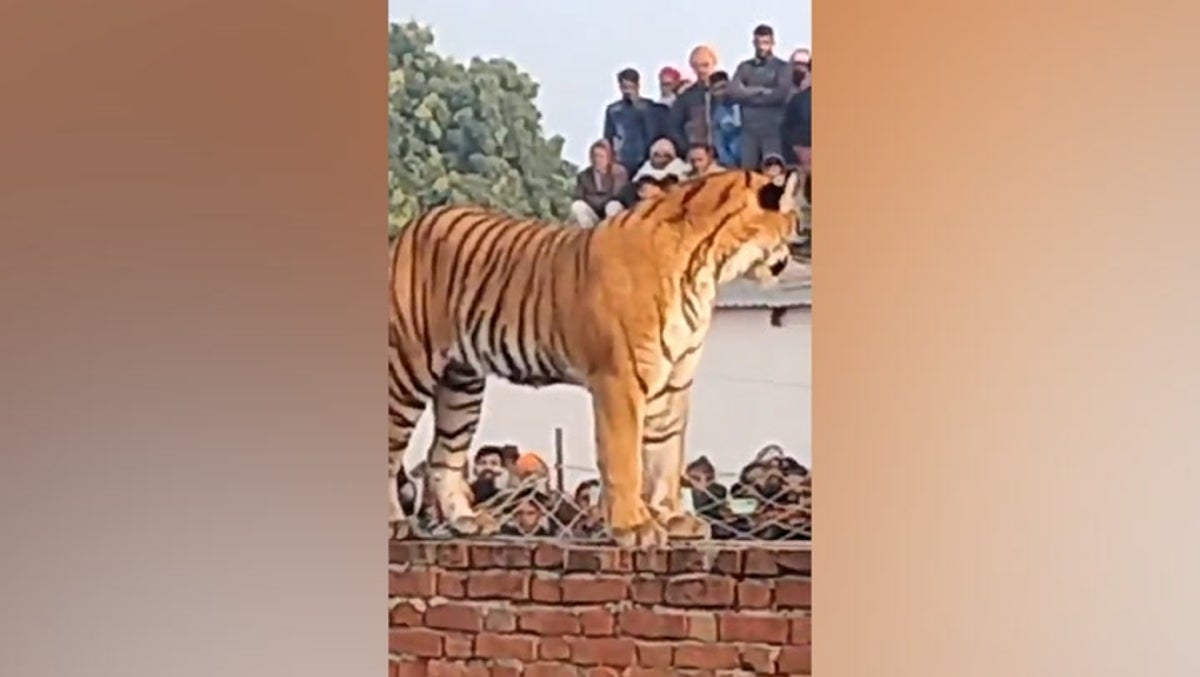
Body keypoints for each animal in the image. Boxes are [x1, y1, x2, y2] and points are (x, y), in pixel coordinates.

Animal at [388, 169, 801, 549]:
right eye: (793, 224)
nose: (791, 254)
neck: (706, 267)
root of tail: (415, 224)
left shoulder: (673, 381)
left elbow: (666, 456)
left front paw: (674, 519)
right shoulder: (621, 378)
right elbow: (625, 460)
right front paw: (634, 527)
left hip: (463, 382)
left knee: (443, 454)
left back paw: (466, 521)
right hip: (408, 369)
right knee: (394, 449)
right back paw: (396, 523)